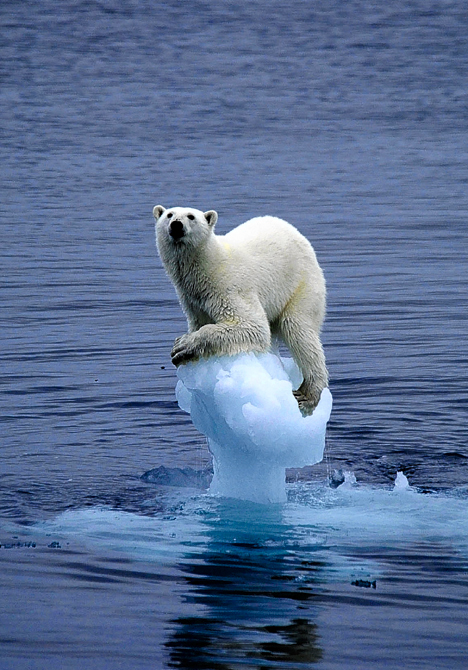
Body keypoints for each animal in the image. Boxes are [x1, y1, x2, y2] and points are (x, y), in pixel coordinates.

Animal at [153, 205, 328, 414]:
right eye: (169, 214)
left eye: (191, 216)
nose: (176, 225)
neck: (208, 265)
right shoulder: (193, 300)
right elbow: (200, 322)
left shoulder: (228, 287)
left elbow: (252, 326)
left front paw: (182, 345)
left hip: (301, 283)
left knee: (299, 331)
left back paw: (308, 394)